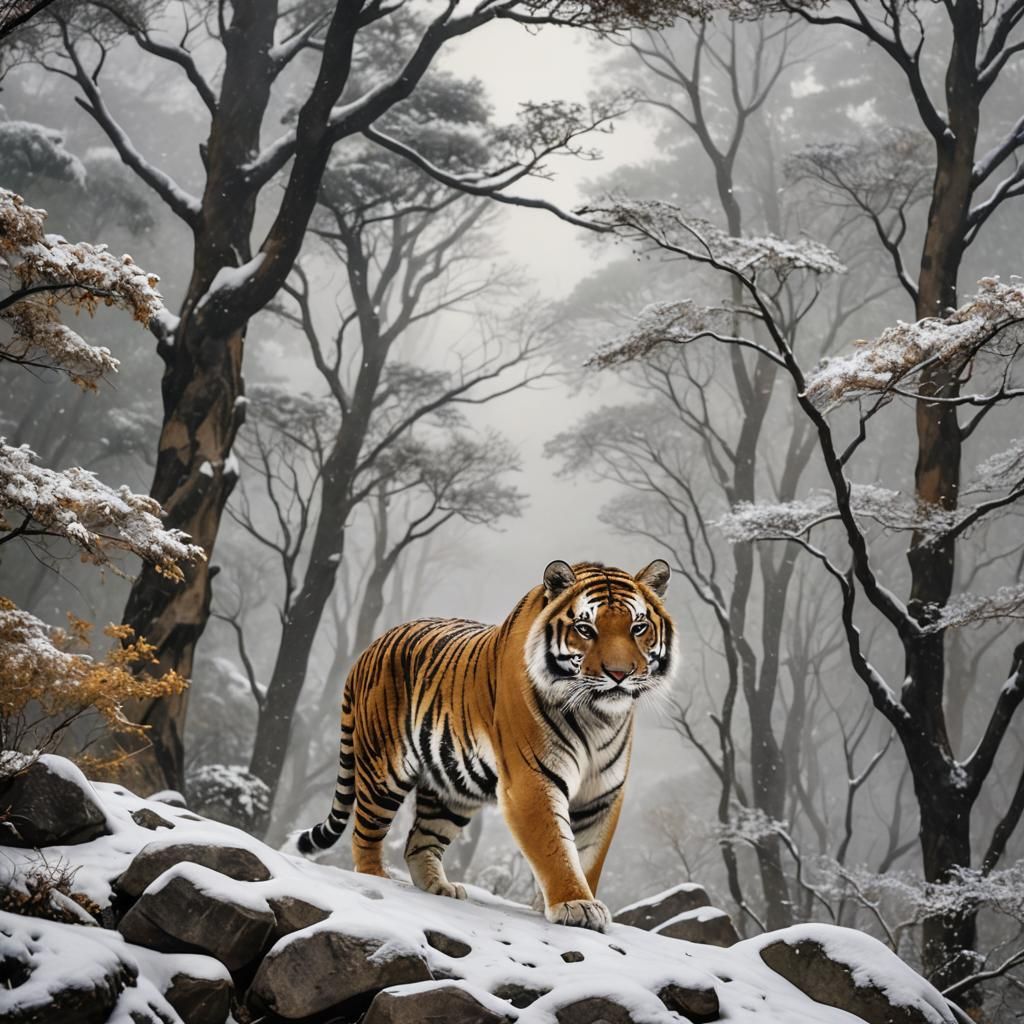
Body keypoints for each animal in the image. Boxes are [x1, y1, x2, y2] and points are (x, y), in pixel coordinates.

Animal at [292, 558, 677, 931]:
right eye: (586, 629)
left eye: (638, 628)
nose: (620, 674)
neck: (596, 715)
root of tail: (368, 649)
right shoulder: (532, 781)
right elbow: (555, 848)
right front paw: (575, 904)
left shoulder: (602, 795)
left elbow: (587, 856)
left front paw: (562, 903)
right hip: (383, 771)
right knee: (365, 834)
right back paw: (377, 878)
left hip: (450, 790)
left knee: (419, 841)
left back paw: (439, 887)